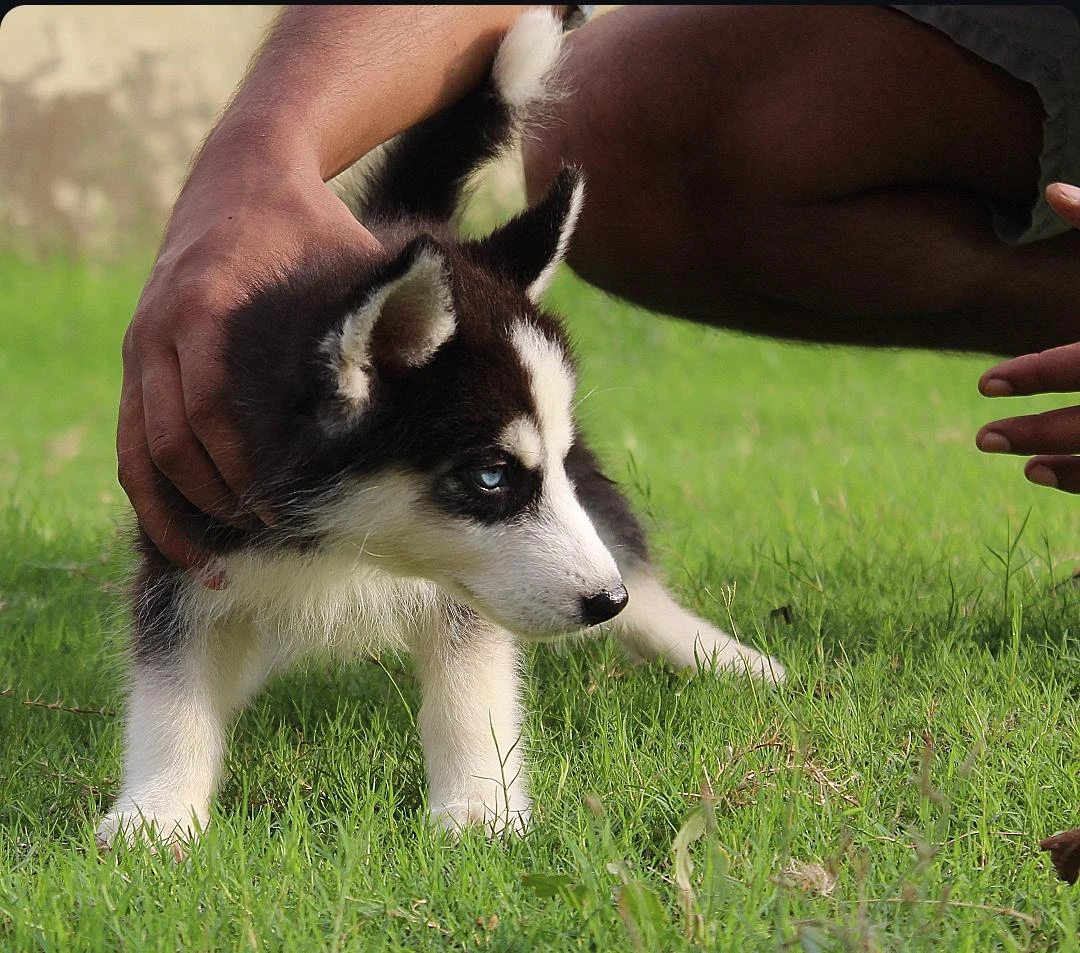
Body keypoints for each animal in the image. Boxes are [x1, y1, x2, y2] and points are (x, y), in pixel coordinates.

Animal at [97, 9, 781, 847]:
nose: (604, 602)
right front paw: (156, 812)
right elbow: (172, 692)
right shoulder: (186, 537)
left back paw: (713, 651)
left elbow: (469, 691)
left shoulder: (472, 588)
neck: (352, 545)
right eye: (491, 476)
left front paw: (480, 805)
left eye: (544, 465)